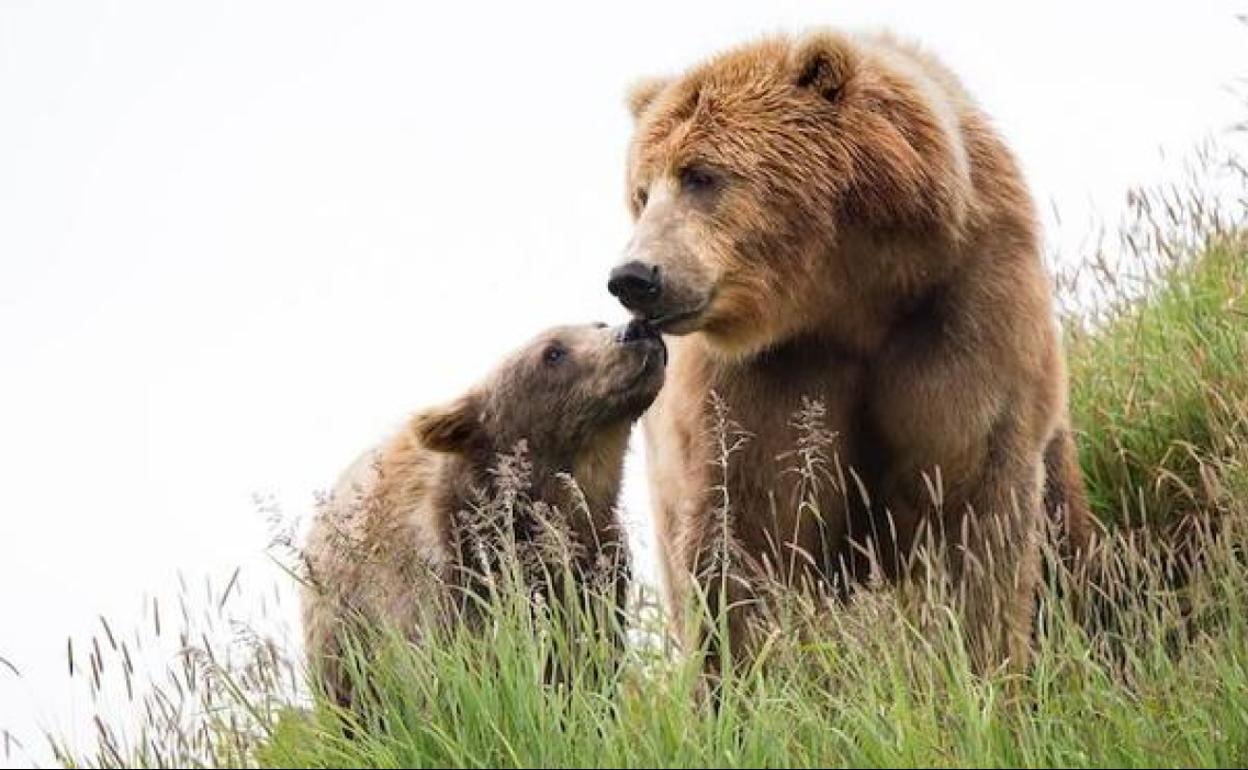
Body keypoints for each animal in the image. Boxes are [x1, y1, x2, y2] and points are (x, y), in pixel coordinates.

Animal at [299, 318, 663, 703]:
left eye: (598, 324)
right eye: (552, 352)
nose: (636, 328)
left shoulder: (597, 573)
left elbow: (590, 662)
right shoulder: (452, 582)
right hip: (343, 639)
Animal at [609, 28, 1088, 668]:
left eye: (701, 175)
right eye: (642, 192)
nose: (634, 276)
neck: (847, 296)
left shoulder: (964, 313)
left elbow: (976, 507)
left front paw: (983, 659)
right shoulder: (760, 378)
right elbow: (741, 534)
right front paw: (741, 675)